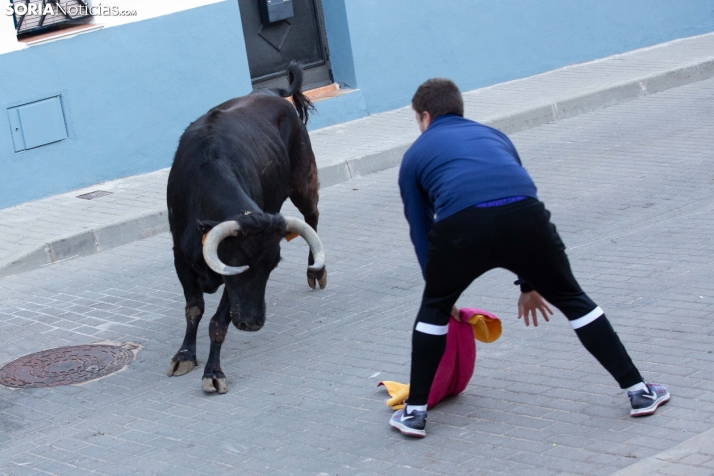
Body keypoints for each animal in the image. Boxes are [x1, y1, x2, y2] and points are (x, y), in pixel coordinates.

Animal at [165, 61, 324, 392]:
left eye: (272, 266)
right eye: (239, 260)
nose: (253, 323)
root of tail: (271, 92)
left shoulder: (230, 285)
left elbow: (218, 322)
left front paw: (213, 373)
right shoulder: (180, 258)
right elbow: (194, 309)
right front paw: (184, 356)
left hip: (303, 180)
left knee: (312, 216)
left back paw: (315, 272)